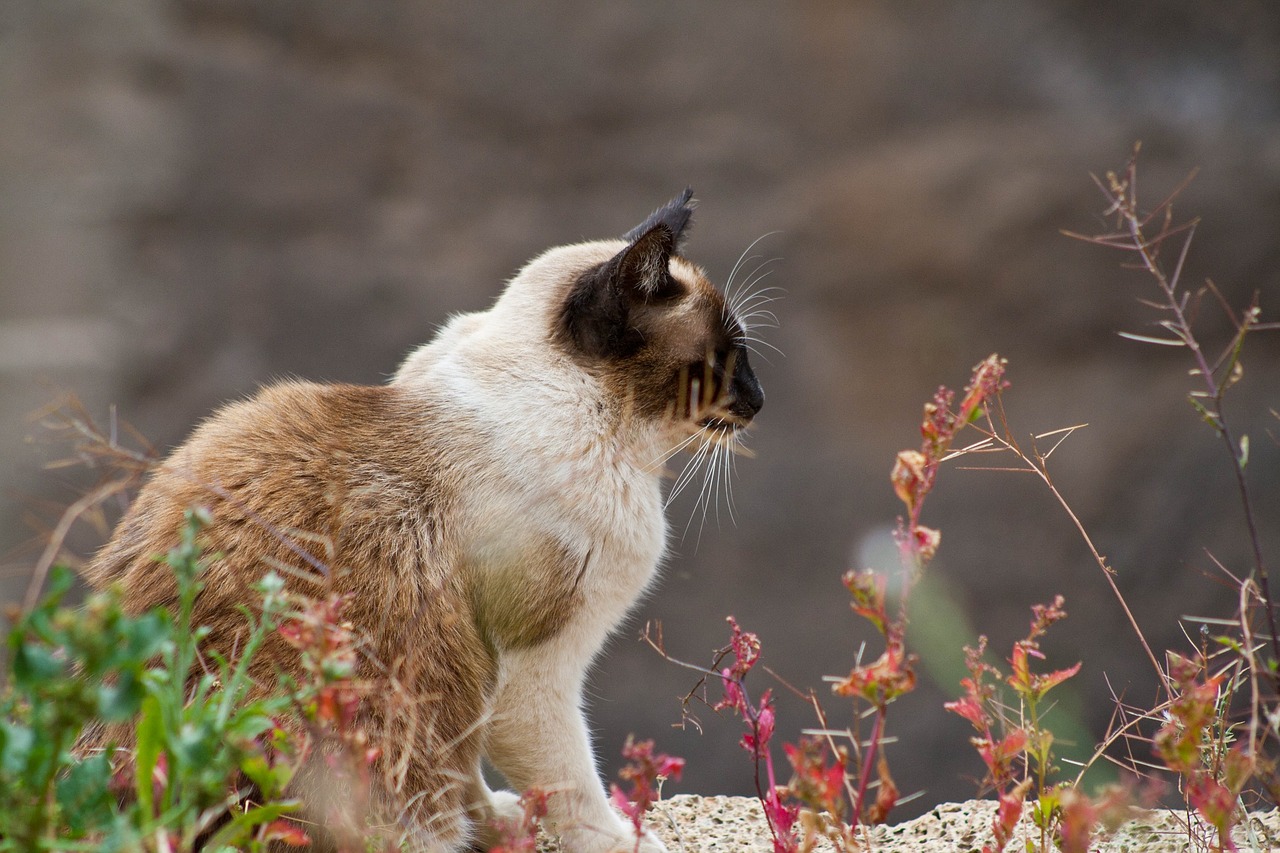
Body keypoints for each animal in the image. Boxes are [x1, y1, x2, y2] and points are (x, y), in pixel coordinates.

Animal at [85, 189, 762, 845]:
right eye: (727, 360)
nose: (759, 401)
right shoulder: (530, 674)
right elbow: (577, 795)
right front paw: (619, 840)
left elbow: (471, 779)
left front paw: (497, 826)